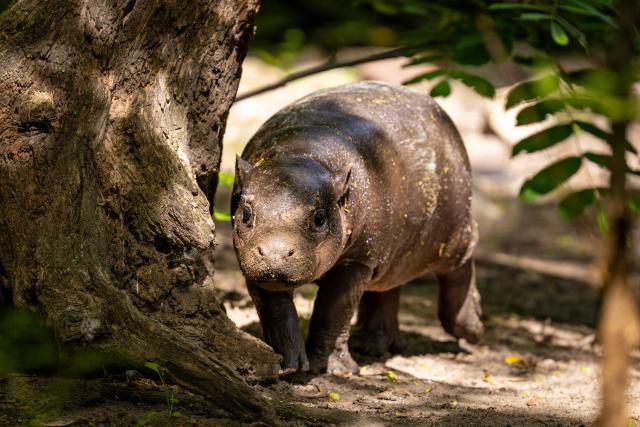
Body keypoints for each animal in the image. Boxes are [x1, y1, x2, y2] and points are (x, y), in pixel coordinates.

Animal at [231, 81, 482, 374]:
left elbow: (335, 309)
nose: (274, 253)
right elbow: (276, 312)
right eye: (245, 214)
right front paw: (288, 365)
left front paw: (336, 370)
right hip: (391, 251)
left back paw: (473, 329)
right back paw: (370, 346)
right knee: (386, 288)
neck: (299, 158)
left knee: (462, 262)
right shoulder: (257, 268)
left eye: (319, 218)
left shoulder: (357, 260)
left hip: (452, 231)